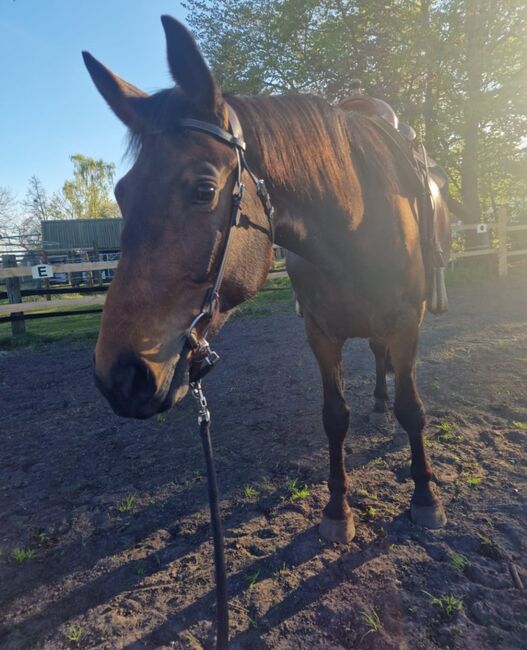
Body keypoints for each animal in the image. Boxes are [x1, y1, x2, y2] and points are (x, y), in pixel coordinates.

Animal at [84, 15, 448, 540]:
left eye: (203, 190)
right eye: (120, 192)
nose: (119, 376)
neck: (356, 224)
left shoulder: (407, 322)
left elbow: (413, 411)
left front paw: (425, 497)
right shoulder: (320, 332)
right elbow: (334, 417)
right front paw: (337, 510)